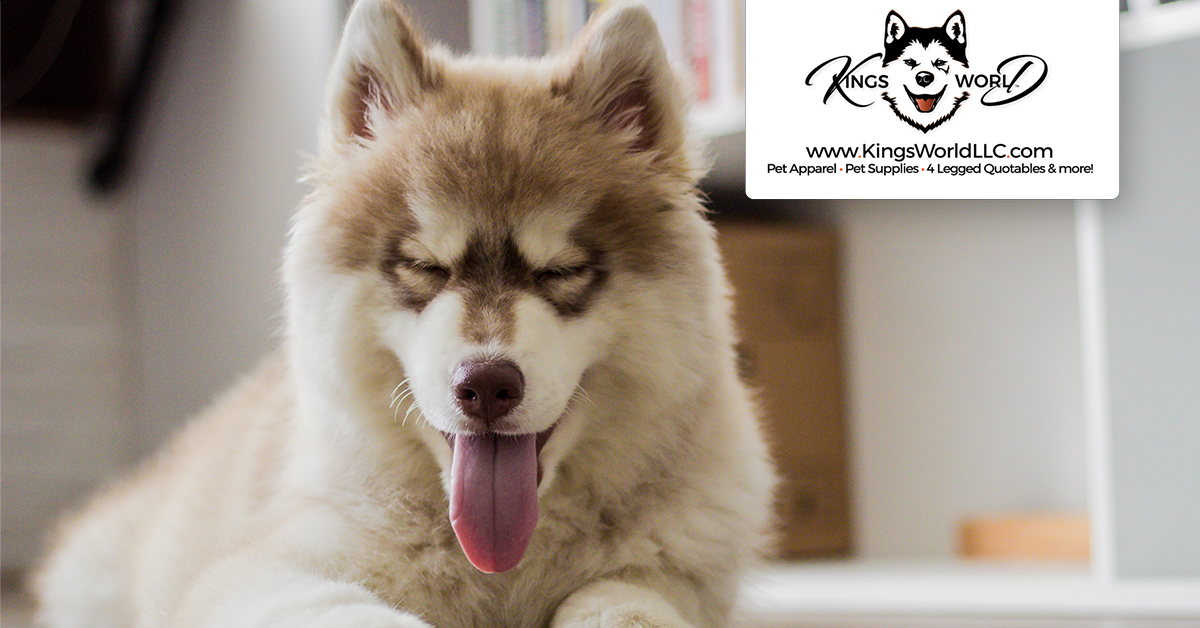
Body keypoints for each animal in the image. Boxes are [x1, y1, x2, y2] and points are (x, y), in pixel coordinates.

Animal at [33, 2, 775, 627]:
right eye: (425, 266)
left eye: (559, 272)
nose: (486, 386)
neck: (503, 571)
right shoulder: (259, 572)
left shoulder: (684, 577)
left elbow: (624, 599)